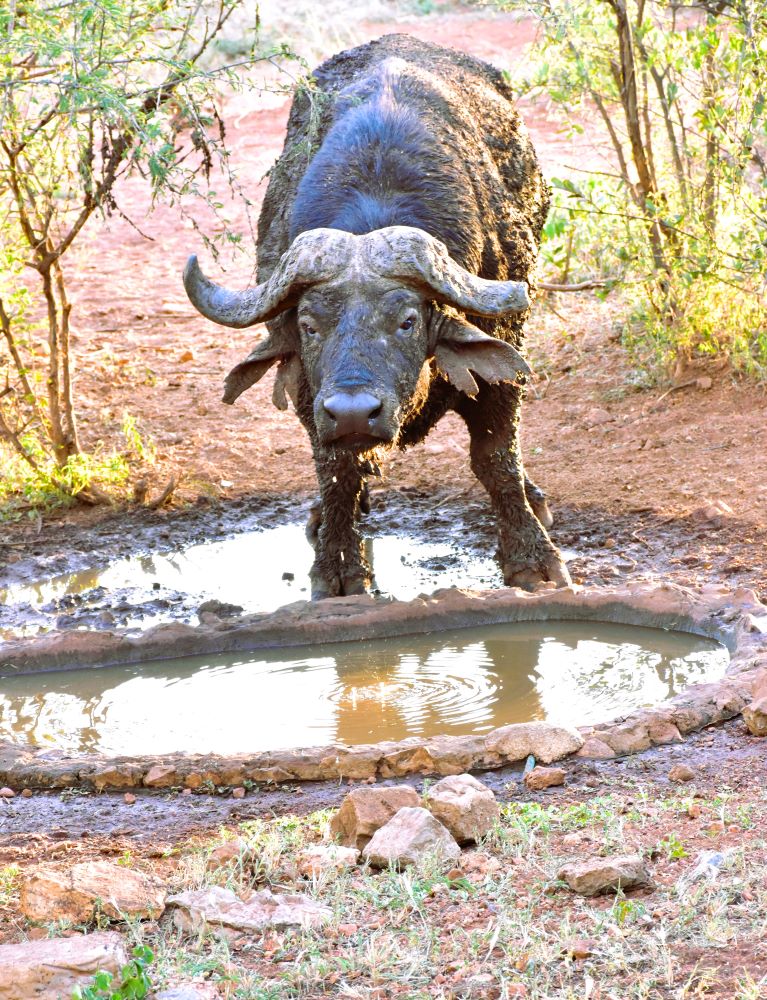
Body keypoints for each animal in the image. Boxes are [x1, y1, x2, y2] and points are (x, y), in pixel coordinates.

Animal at [183, 34, 571, 598]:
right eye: (309, 326)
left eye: (407, 321)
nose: (352, 411)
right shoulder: (311, 394)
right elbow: (338, 468)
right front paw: (339, 566)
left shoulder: (502, 359)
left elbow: (496, 458)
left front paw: (533, 557)